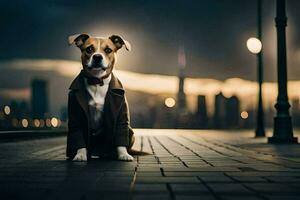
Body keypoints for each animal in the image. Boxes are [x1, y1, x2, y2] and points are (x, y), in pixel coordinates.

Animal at [67, 32, 135, 161]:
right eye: (89, 49)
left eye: (108, 50)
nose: (97, 57)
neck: (97, 81)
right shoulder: (75, 115)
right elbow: (78, 133)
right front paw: (80, 154)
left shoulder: (121, 115)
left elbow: (121, 133)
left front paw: (123, 154)